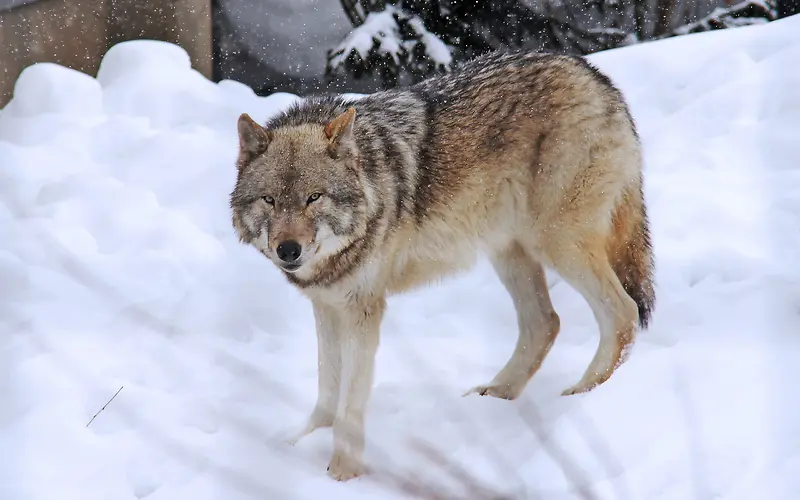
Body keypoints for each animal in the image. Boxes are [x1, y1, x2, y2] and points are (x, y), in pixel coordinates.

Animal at [230, 49, 656, 480]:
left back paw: (583, 396)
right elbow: (328, 387)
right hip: (509, 251)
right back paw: (497, 394)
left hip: (557, 243)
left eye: (314, 197)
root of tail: (595, 75)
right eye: (269, 200)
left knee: (622, 313)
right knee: (545, 323)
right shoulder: (327, 306)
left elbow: (351, 398)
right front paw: (305, 443)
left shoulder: (363, 309)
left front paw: (342, 472)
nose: (288, 250)